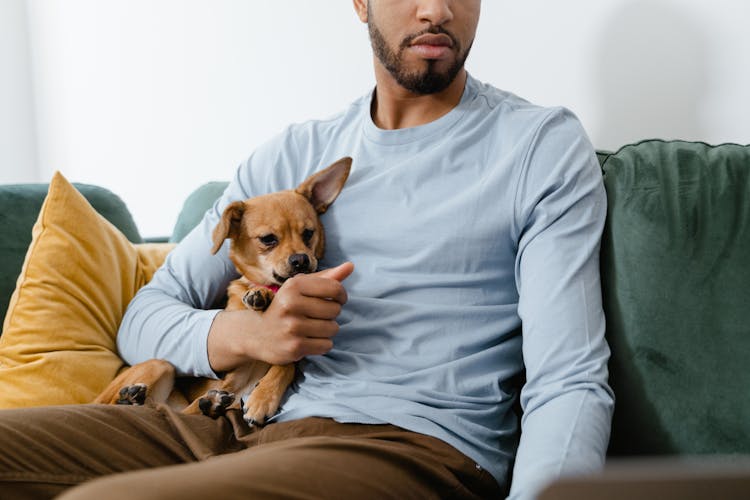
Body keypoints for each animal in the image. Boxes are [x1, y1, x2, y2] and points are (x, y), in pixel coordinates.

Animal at [96, 158, 352, 424]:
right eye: (268, 239)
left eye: (309, 234)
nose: (301, 260)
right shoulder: (230, 374)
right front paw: (262, 296)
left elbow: (286, 365)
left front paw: (263, 397)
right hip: (159, 365)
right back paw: (133, 398)